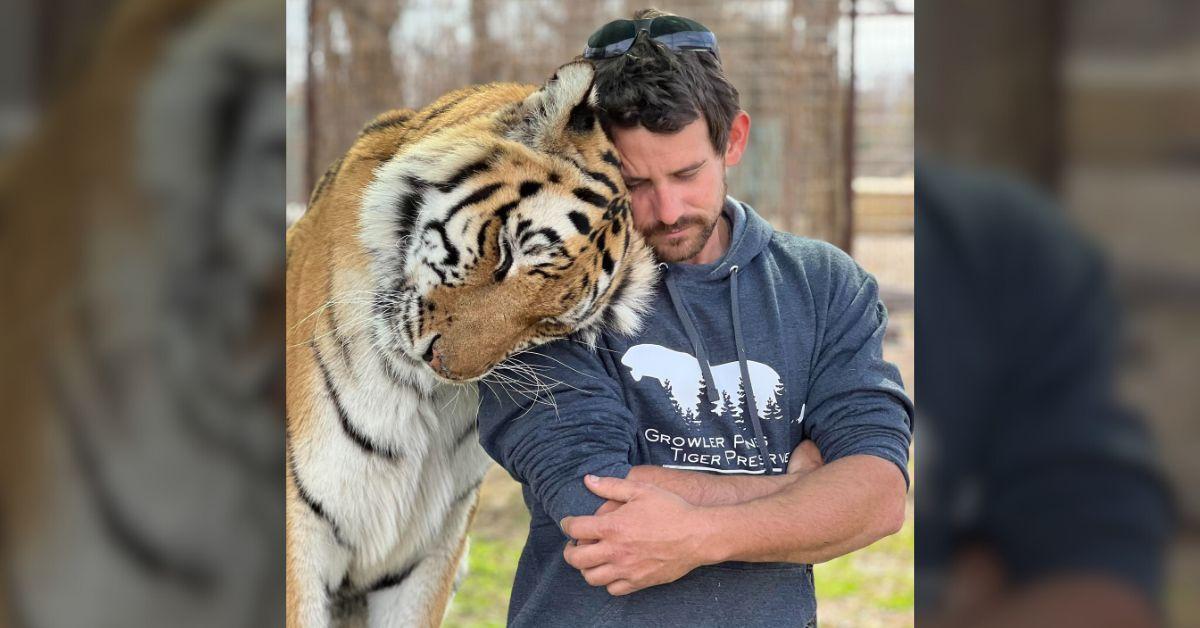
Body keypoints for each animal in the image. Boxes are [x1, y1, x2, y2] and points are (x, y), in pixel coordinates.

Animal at [285, 60, 657, 626]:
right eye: (505, 251)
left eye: (549, 323)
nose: (445, 363)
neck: (420, 397)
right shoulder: (298, 530)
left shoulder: (430, 548)